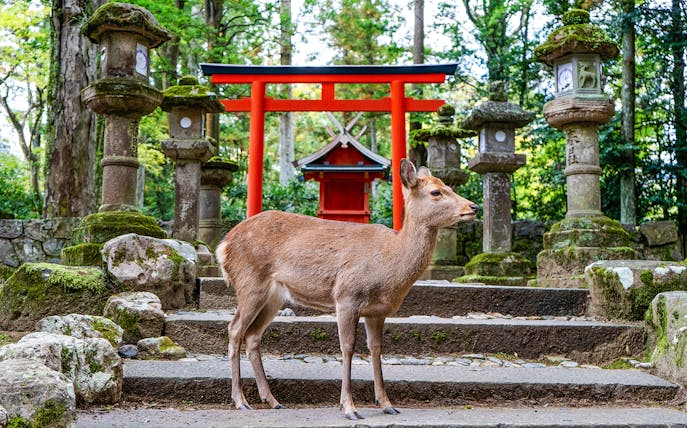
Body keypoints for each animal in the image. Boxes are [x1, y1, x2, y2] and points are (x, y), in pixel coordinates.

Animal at [215, 159, 478, 419]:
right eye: (436, 192)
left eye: (448, 186)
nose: (473, 206)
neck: (389, 265)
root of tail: (223, 245)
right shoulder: (346, 297)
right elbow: (348, 347)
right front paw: (349, 408)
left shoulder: (377, 311)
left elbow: (376, 349)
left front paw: (386, 404)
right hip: (250, 283)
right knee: (235, 329)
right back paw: (240, 400)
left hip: (274, 297)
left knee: (253, 335)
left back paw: (272, 400)